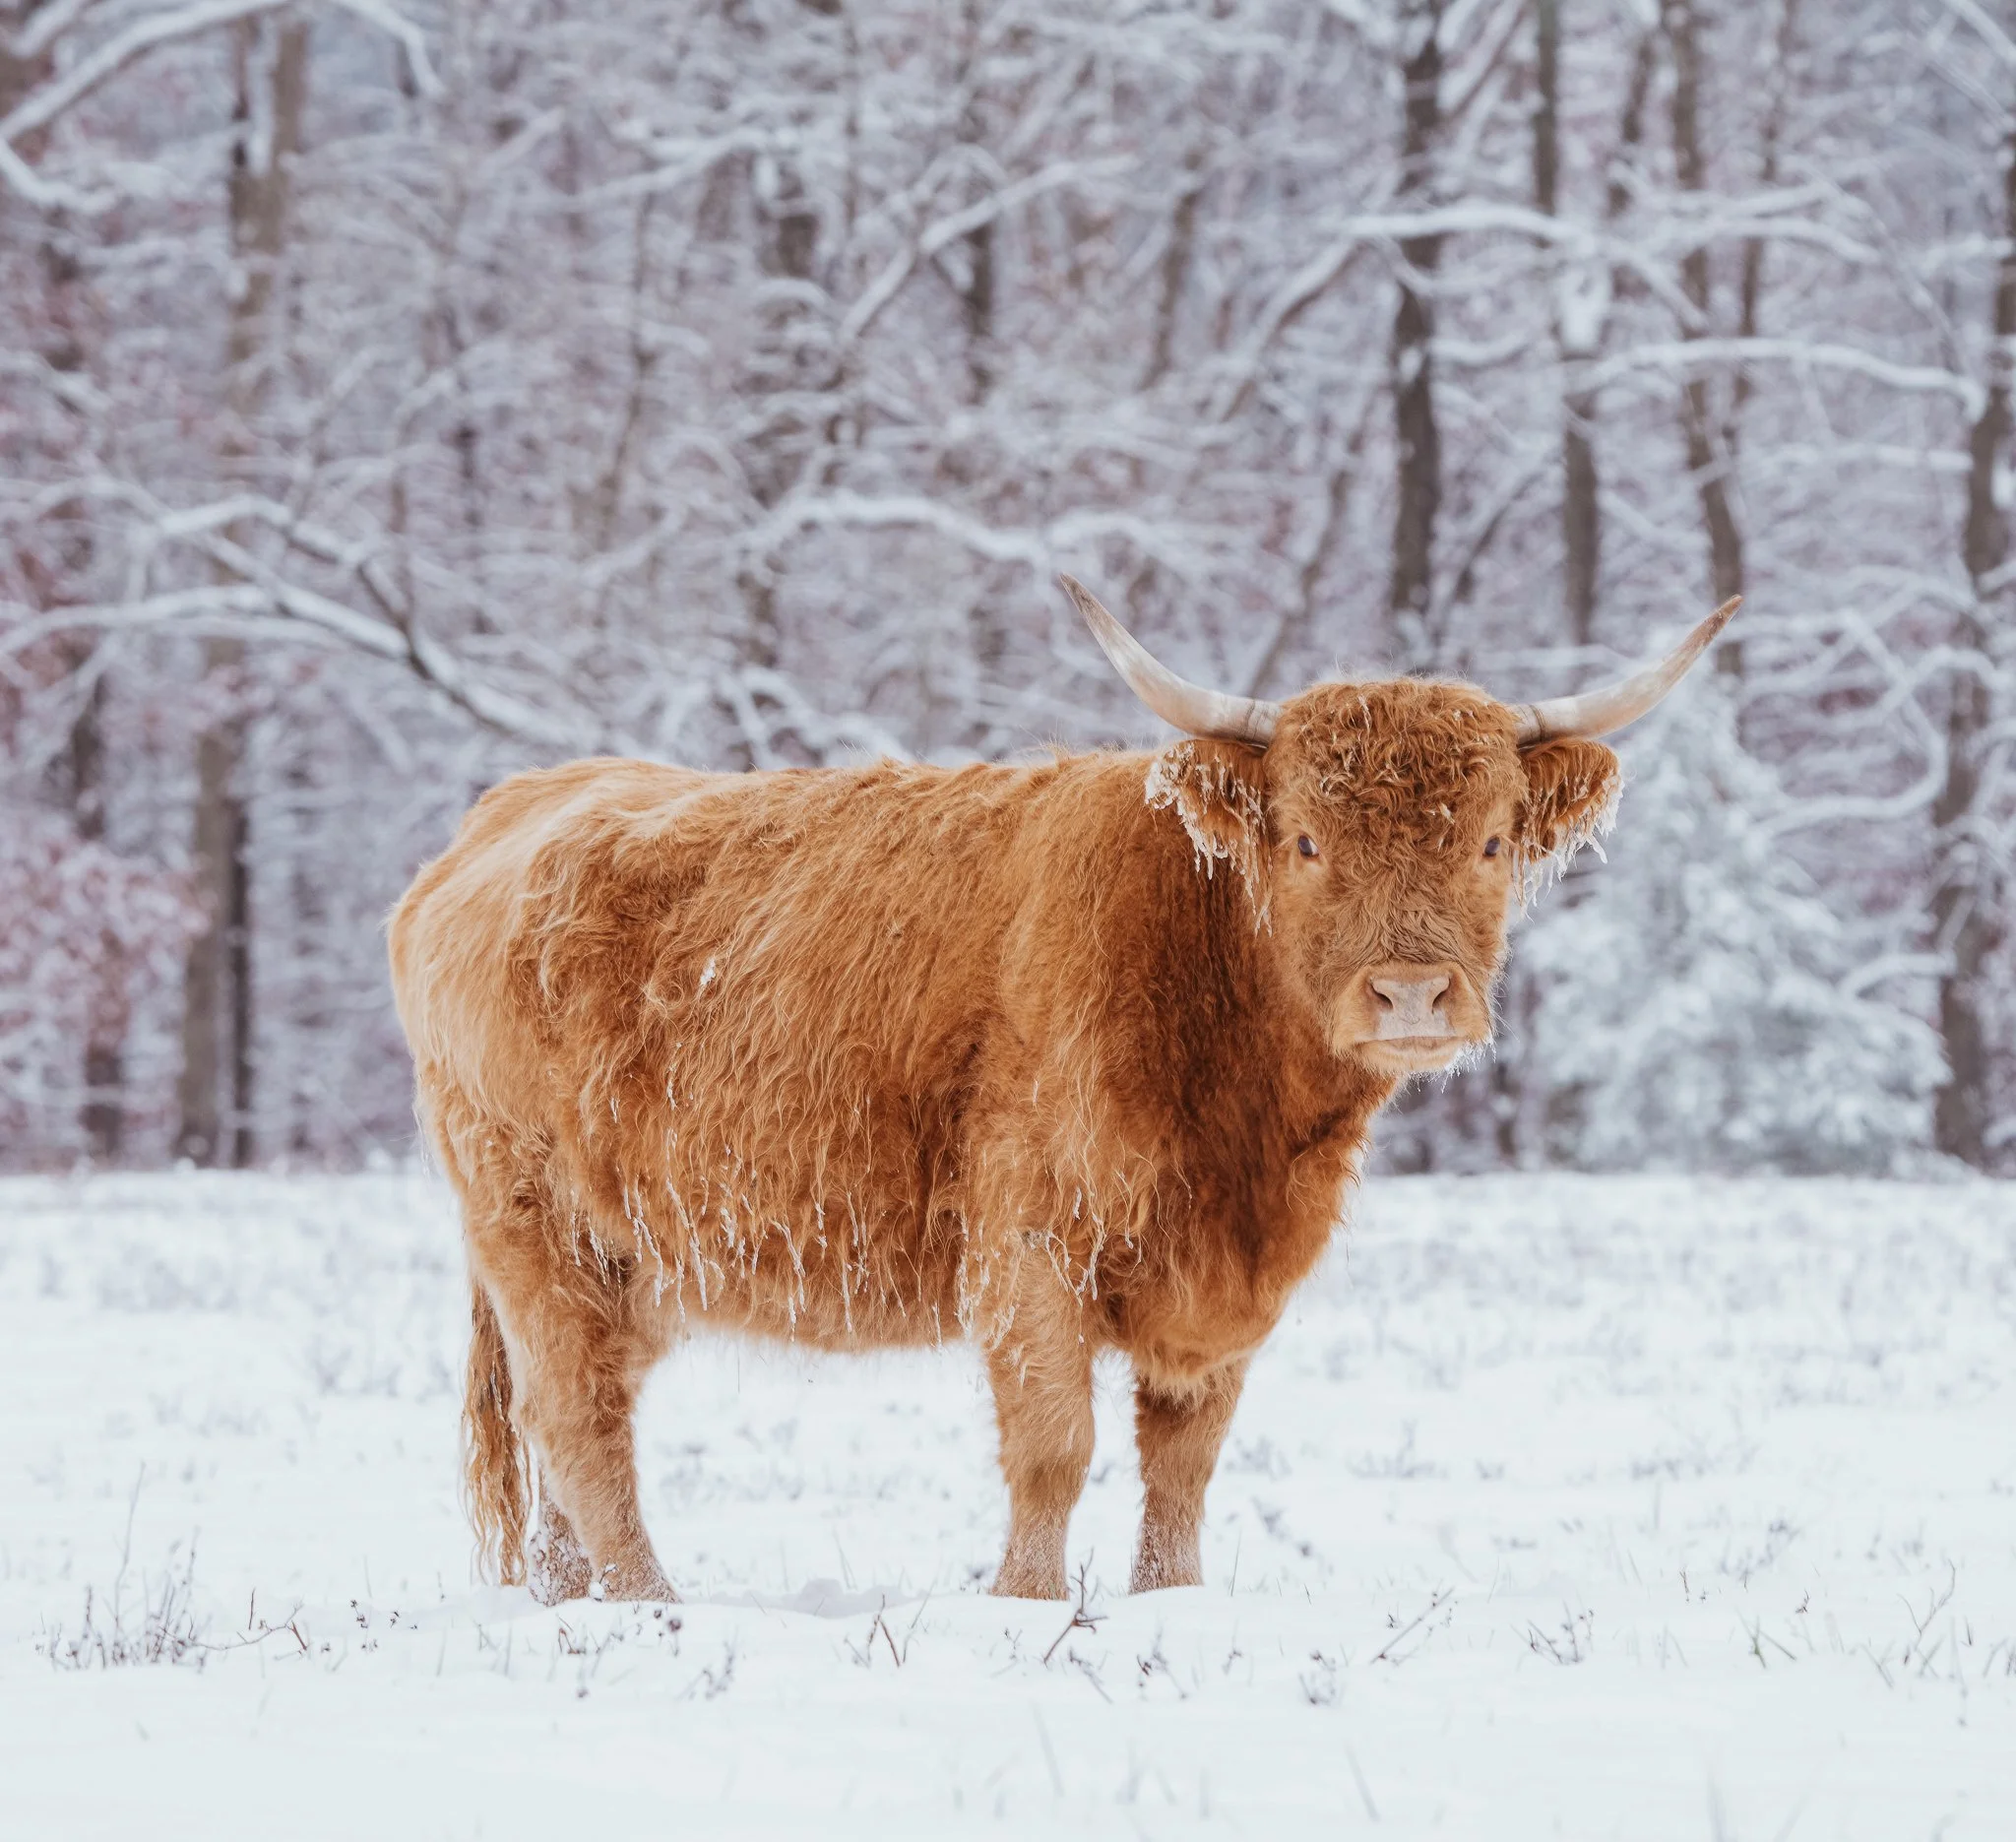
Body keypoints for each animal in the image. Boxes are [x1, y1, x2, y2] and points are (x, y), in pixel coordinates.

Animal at [388, 579, 1738, 1604]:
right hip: (533, 1230)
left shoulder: (1223, 1287)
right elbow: (1053, 1447)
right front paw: (1026, 1609)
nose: (1410, 994)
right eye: (1305, 839)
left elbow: (1181, 1463)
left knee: (574, 1435)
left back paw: (575, 1602)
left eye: (1492, 839)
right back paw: (654, 1607)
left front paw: (1169, 1602)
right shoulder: (1028, 1239)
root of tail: (510, 809)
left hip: (632, 1263)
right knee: (578, 1423)